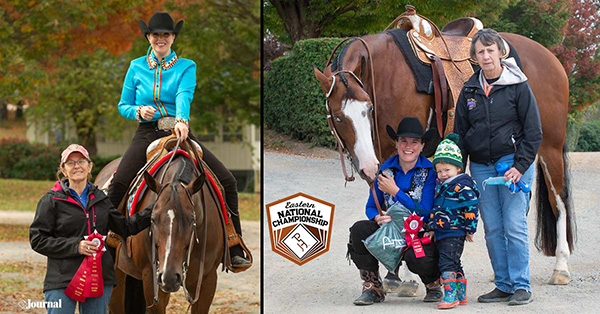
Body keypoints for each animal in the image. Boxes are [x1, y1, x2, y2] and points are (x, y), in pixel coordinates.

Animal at [314, 31, 576, 284]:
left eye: (367, 109)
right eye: (338, 117)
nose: (367, 166)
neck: (384, 73)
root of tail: (551, 59)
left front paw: (408, 277)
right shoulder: (384, 157)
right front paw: (393, 272)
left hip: (550, 147)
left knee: (559, 200)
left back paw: (561, 266)